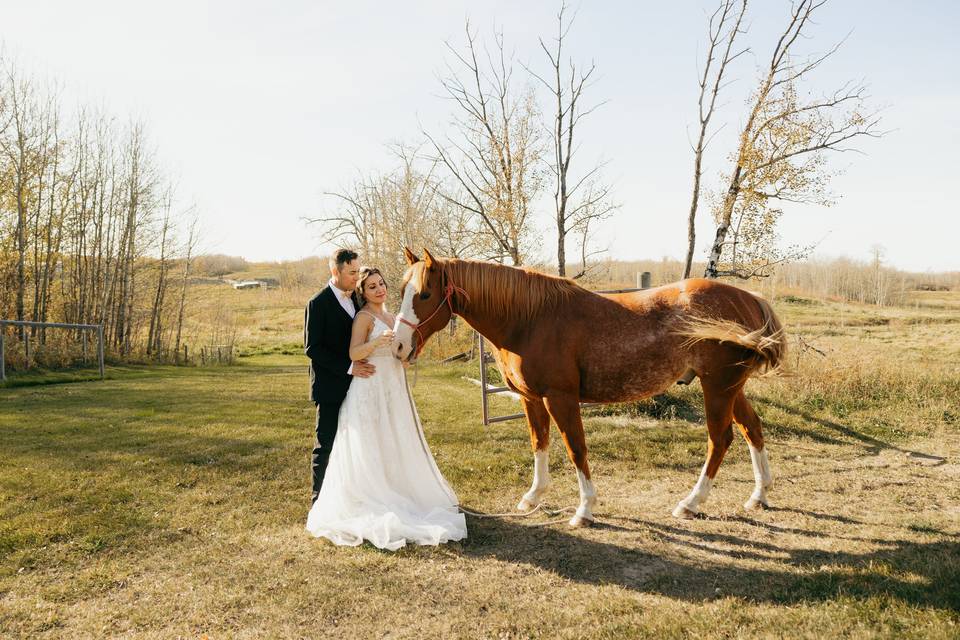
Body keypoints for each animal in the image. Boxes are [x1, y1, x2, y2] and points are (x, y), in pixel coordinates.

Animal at [394, 249, 784, 524]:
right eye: (402, 290)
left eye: (425, 294)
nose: (398, 345)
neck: (529, 320)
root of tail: (750, 298)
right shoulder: (530, 399)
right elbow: (539, 444)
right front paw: (533, 497)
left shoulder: (561, 399)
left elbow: (576, 449)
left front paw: (584, 509)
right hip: (731, 387)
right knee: (752, 429)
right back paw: (759, 495)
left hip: (717, 387)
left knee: (720, 439)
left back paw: (690, 503)